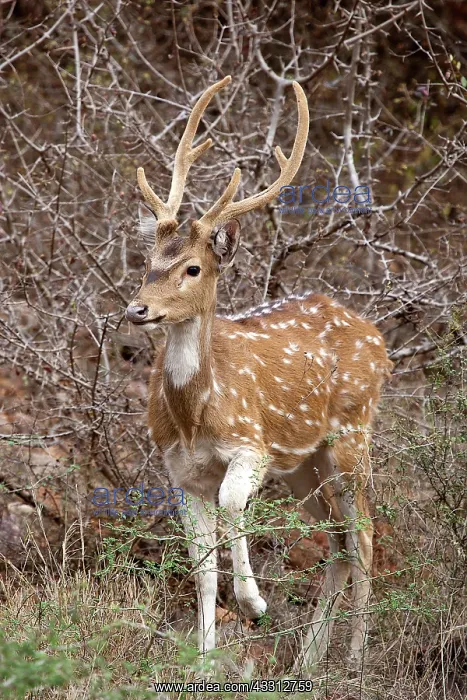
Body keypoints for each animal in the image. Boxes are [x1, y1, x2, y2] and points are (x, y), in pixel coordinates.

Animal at [125, 76, 393, 675]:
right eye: (148, 262)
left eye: (192, 267)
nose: (136, 309)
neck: (194, 416)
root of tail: (379, 340)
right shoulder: (182, 473)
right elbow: (202, 570)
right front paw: (202, 663)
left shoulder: (251, 445)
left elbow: (232, 506)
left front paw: (255, 604)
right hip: (304, 464)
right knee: (336, 540)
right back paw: (308, 663)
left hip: (352, 434)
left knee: (364, 536)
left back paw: (355, 659)